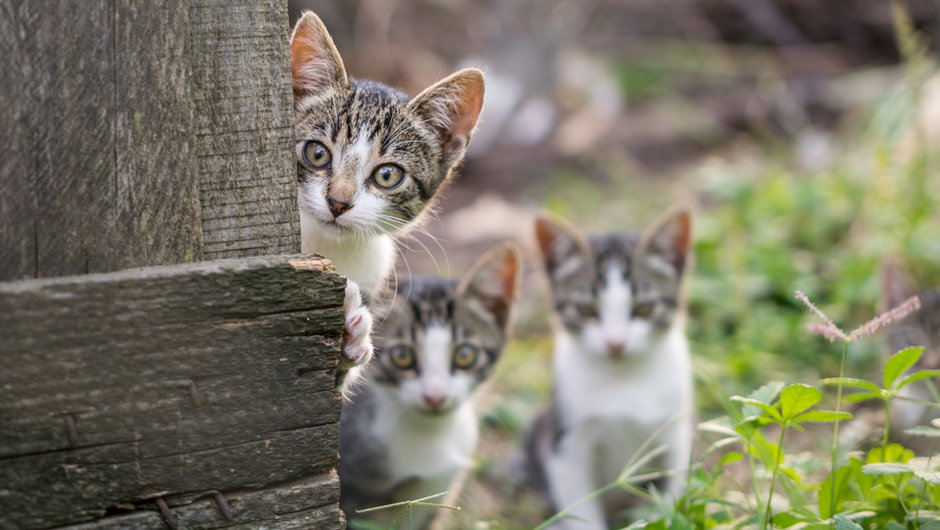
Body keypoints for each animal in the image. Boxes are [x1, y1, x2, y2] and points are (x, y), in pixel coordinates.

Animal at [524, 206, 692, 528]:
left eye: (644, 308)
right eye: (586, 310)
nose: (616, 343)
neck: (622, 378)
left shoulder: (674, 434)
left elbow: (668, 496)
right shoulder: (566, 447)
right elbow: (581, 511)